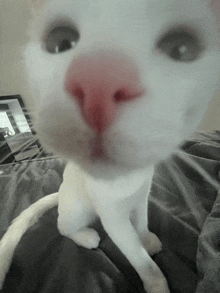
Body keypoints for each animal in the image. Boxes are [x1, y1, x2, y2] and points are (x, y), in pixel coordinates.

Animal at [0, 0, 220, 290]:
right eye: (61, 42)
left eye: (180, 49)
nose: (99, 83)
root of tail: (60, 193)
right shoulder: (113, 218)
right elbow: (140, 258)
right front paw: (156, 284)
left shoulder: (142, 197)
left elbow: (142, 223)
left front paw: (147, 239)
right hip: (79, 210)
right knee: (62, 227)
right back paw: (86, 237)